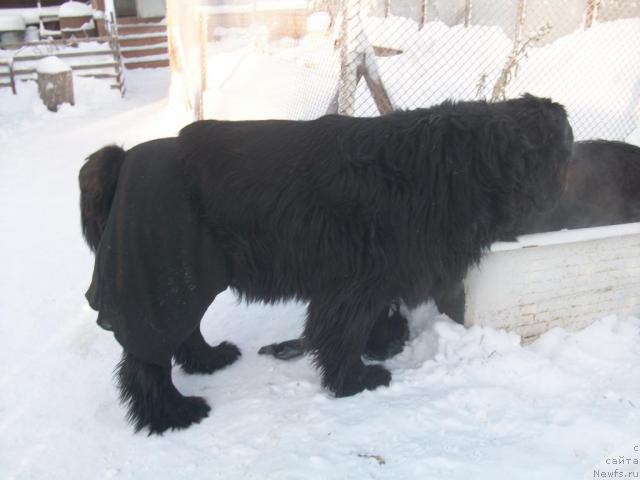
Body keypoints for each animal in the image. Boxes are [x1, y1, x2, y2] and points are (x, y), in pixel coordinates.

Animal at [81, 93, 576, 432]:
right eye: (561, 149)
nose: (561, 111)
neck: (459, 168)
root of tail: (124, 159)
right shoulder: (354, 281)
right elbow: (341, 334)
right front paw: (355, 379)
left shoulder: (375, 275)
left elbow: (373, 318)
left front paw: (384, 343)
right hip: (158, 274)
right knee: (146, 360)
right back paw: (170, 413)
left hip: (186, 274)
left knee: (183, 332)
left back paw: (208, 360)